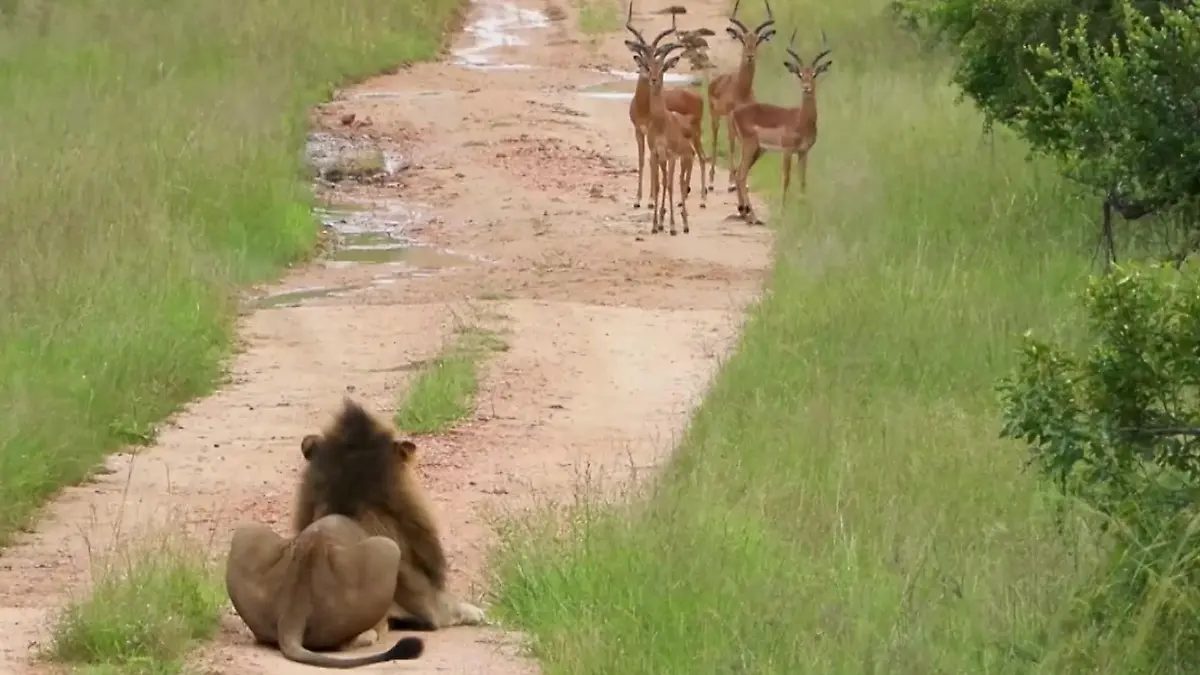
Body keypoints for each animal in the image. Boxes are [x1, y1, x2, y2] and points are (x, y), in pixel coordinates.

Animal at [625, 3, 710, 211]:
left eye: (656, 54)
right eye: (642, 57)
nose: (649, 75)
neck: (643, 106)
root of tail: (697, 96)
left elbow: (651, 162)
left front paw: (650, 199)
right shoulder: (639, 131)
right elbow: (642, 161)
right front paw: (638, 199)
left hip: (696, 134)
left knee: (702, 158)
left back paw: (701, 200)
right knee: (692, 157)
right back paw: (683, 196)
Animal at [627, 29, 696, 235]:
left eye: (663, 68)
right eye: (648, 66)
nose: (653, 79)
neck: (660, 122)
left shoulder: (671, 155)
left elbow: (670, 186)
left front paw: (672, 226)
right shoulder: (657, 153)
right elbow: (658, 186)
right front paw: (656, 224)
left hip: (685, 157)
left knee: (680, 183)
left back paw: (684, 224)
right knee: (672, 182)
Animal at [705, 0, 776, 193]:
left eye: (757, 40)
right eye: (743, 39)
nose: (750, 56)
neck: (741, 90)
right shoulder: (731, 116)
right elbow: (731, 145)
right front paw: (731, 182)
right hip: (715, 115)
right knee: (715, 141)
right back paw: (711, 182)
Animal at [731, 29, 831, 225]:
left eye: (814, 73)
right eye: (800, 74)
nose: (806, 87)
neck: (801, 120)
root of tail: (736, 113)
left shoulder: (803, 152)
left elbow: (802, 180)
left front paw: (803, 208)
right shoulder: (787, 151)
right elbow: (786, 178)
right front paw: (783, 212)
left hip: (759, 150)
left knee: (740, 174)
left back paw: (747, 214)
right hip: (750, 146)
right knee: (740, 175)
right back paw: (752, 217)